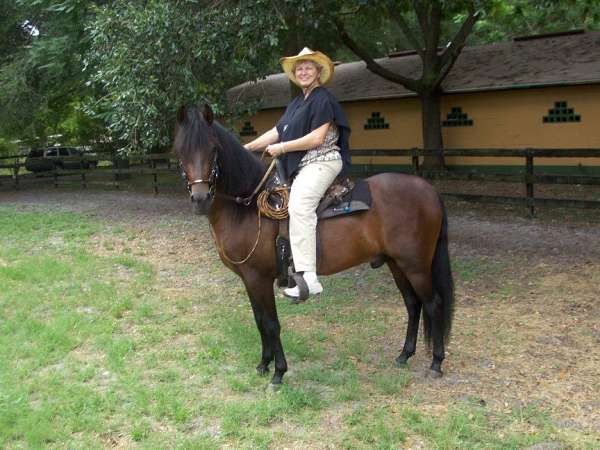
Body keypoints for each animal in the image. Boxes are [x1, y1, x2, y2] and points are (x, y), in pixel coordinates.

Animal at [173, 104, 454, 386]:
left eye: (213, 149)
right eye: (180, 152)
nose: (200, 198)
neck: (248, 207)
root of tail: (429, 190)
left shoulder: (258, 278)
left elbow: (271, 323)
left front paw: (278, 372)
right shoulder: (249, 280)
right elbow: (260, 321)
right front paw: (263, 364)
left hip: (416, 265)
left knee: (433, 304)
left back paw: (436, 362)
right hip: (396, 264)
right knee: (413, 304)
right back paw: (404, 355)